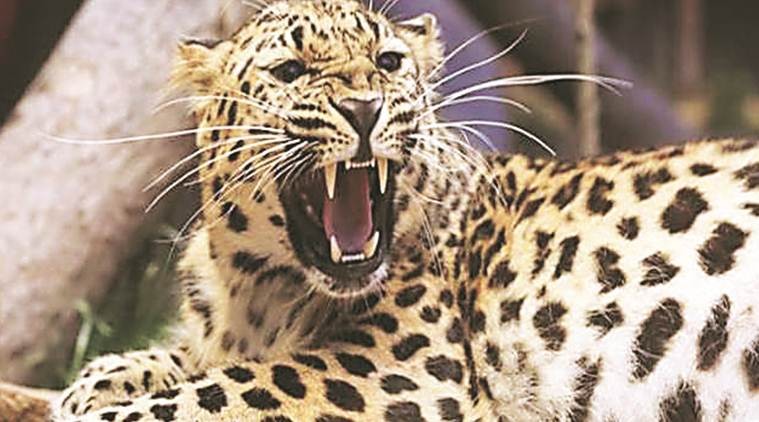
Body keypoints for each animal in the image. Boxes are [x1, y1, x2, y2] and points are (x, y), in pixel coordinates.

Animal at [53, 0, 759, 421]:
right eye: (290, 71)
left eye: (388, 62)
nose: (364, 107)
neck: (254, 291)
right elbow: (187, 361)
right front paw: (101, 378)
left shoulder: (404, 366)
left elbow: (228, 387)